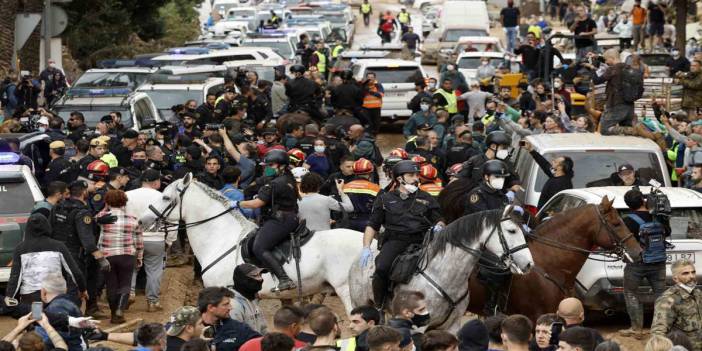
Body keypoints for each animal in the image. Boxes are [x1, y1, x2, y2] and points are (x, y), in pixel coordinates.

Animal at [350, 208, 536, 334]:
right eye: (512, 231)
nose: (529, 264)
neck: (443, 276)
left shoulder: (451, 326)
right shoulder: (418, 327)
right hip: (361, 305)